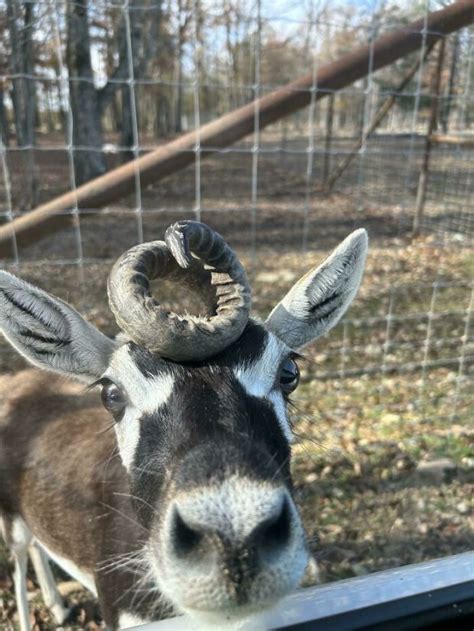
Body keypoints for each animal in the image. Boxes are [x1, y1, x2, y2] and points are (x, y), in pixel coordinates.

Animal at [0, 221, 368, 628]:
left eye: (289, 372)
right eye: (111, 392)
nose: (233, 544)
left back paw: (58, 606)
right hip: (10, 519)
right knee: (20, 555)